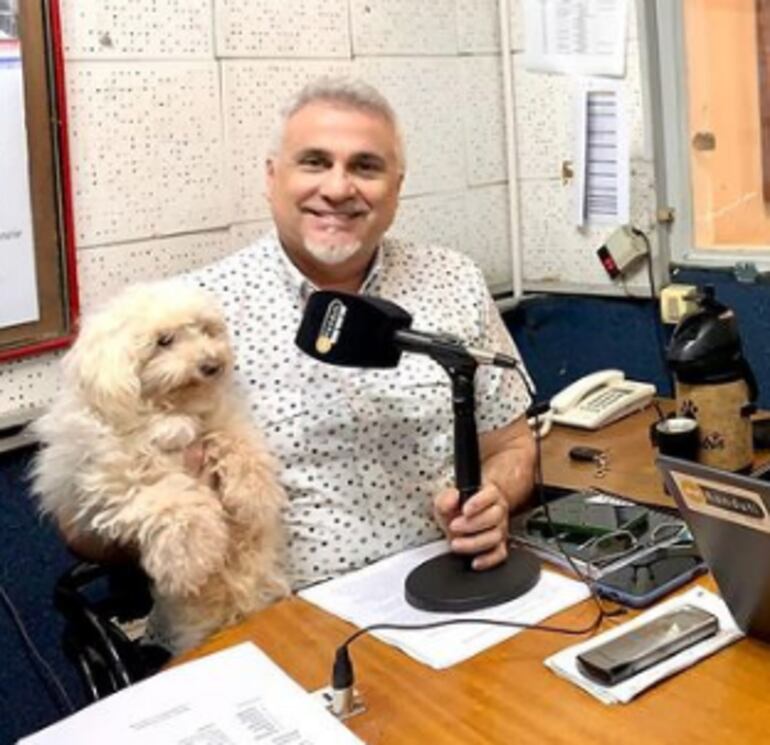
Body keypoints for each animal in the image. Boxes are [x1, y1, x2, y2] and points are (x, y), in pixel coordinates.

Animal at [30, 280, 292, 652]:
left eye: (206, 330)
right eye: (164, 341)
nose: (212, 364)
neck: (170, 409)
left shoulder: (222, 422)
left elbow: (242, 447)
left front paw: (254, 498)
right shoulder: (118, 477)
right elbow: (175, 506)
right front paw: (192, 557)